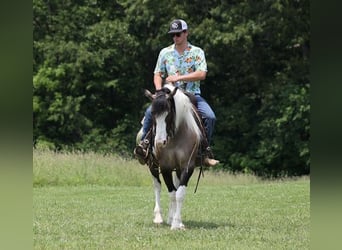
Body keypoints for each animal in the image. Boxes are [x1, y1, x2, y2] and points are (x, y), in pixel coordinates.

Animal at [142, 84, 202, 230]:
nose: (159, 142)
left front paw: (176, 223)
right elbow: (172, 193)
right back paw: (158, 217)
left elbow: (179, 193)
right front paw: (174, 221)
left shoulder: (187, 167)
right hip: (152, 165)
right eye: (152, 113)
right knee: (157, 186)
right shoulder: (165, 167)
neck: (176, 137)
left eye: (168, 113)